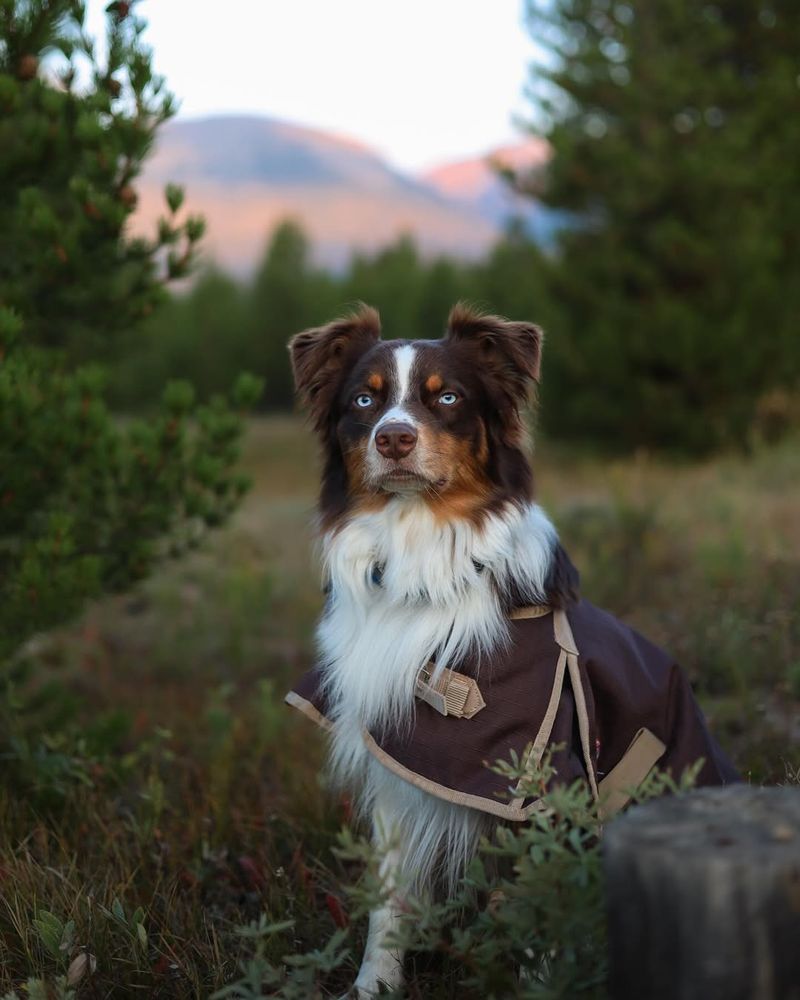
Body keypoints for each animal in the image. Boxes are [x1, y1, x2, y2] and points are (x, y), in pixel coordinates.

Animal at [282, 300, 736, 996]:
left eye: (447, 397)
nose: (394, 438)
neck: (423, 558)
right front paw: (372, 986)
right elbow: (388, 899)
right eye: (364, 399)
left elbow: (537, 909)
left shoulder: (537, 780)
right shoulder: (399, 766)